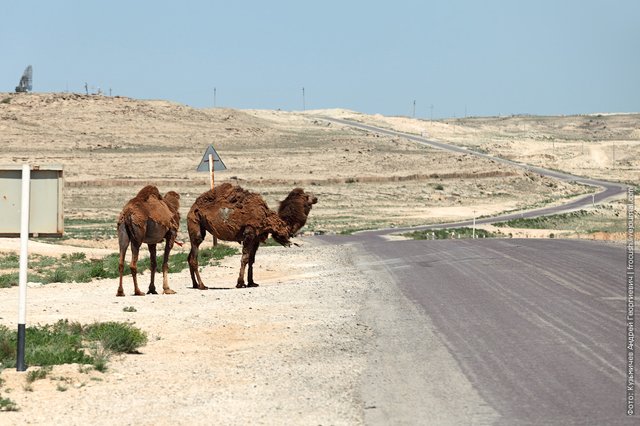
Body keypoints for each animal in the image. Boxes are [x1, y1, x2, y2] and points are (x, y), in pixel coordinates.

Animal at [188, 181, 318, 288]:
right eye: (307, 197)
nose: (316, 198)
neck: (269, 219)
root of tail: (193, 207)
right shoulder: (249, 233)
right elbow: (245, 258)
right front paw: (240, 283)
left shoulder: (256, 238)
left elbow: (251, 259)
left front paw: (251, 282)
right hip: (195, 222)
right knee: (194, 256)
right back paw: (202, 285)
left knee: (189, 257)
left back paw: (194, 284)